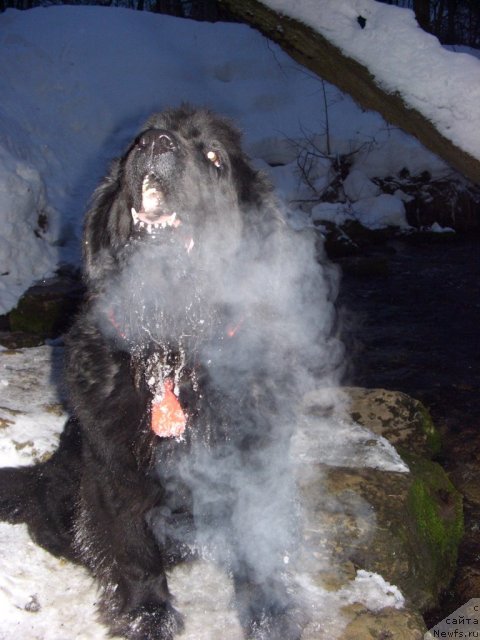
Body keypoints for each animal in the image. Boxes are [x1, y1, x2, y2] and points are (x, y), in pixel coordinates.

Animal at [0, 106, 326, 640]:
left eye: (213, 157)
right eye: (137, 139)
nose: (154, 142)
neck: (174, 349)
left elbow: (259, 546)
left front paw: (270, 616)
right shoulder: (114, 469)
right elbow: (134, 550)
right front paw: (146, 615)